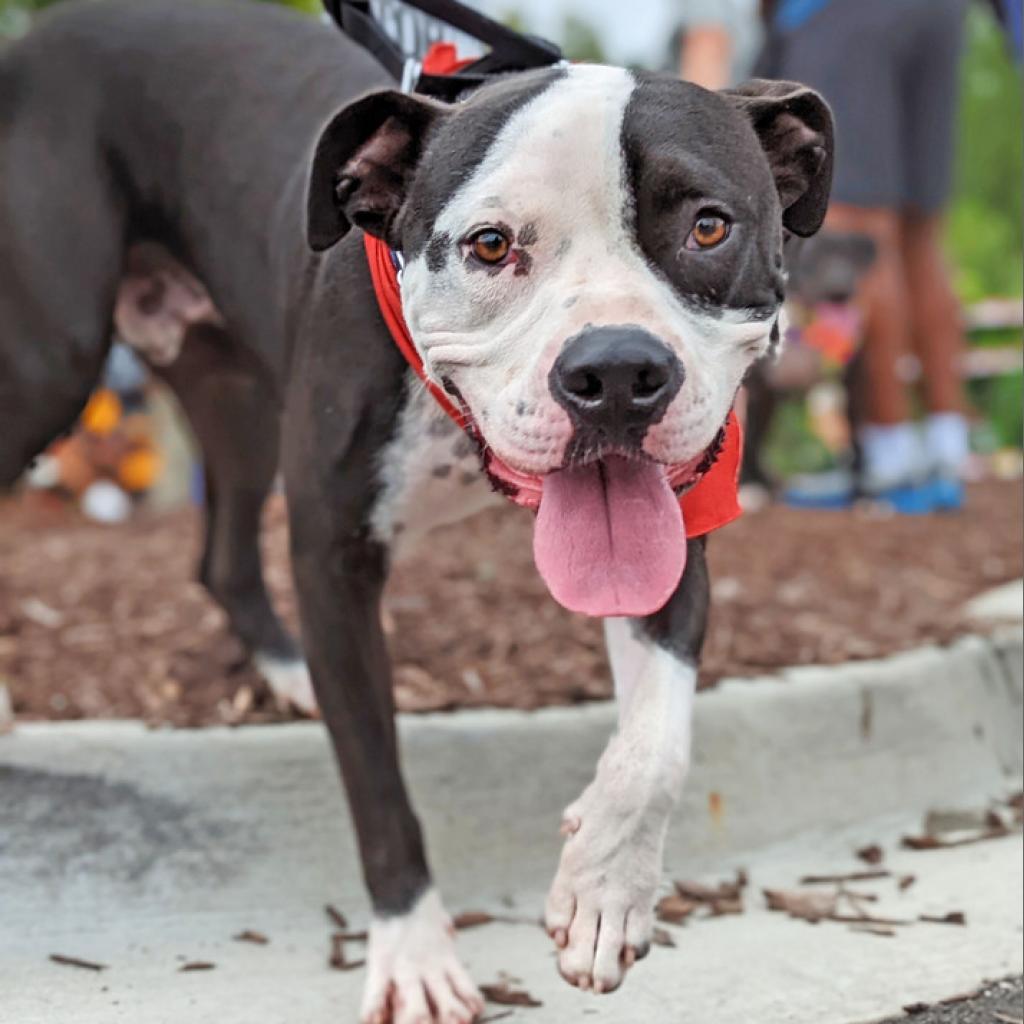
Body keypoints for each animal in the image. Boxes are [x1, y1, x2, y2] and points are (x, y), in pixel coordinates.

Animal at [0, 4, 831, 1019]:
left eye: (709, 226)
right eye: (490, 245)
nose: (617, 373)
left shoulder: (676, 535)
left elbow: (657, 742)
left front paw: (604, 889)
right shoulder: (334, 560)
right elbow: (377, 783)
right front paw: (414, 955)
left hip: (235, 398)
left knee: (222, 556)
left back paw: (285, 672)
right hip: (51, 362)